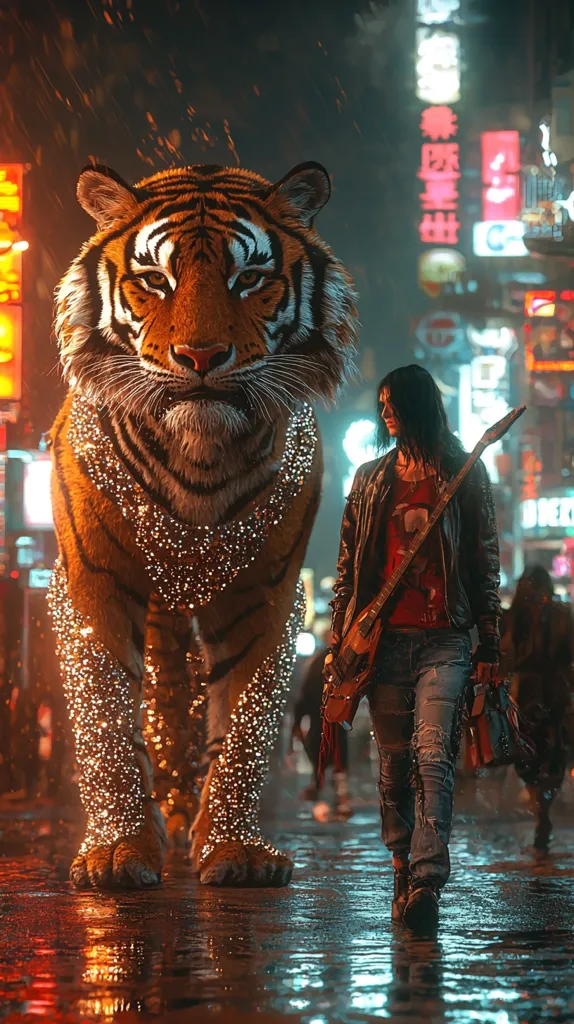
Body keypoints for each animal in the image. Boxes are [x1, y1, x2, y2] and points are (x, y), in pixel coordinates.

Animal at [49, 159, 358, 890]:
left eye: (249, 278)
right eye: (154, 280)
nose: (200, 357)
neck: (200, 452)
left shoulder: (265, 590)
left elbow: (245, 721)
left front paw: (233, 850)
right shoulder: (92, 580)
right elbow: (107, 716)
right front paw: (119, 852)